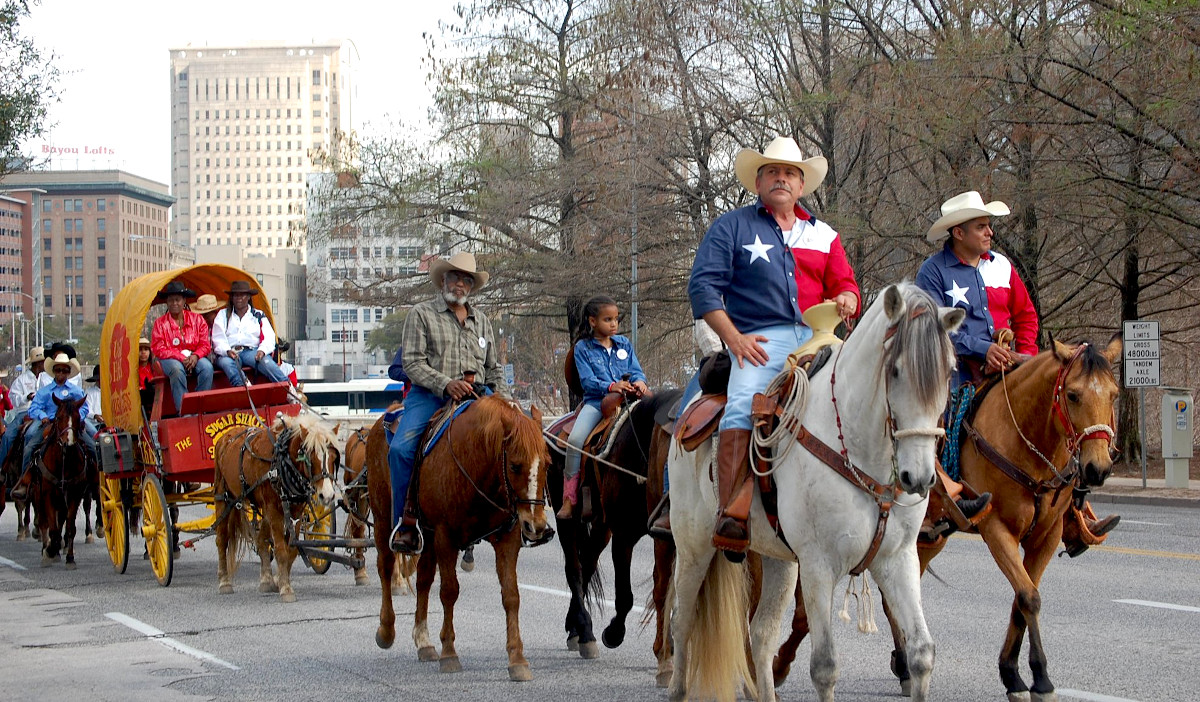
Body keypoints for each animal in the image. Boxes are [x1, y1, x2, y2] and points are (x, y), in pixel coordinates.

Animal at [212, 410, 338, 602]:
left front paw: (279, 579)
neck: (282, 461)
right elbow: (280, 549)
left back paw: (266, 580)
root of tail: (227, 436)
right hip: (224, 498)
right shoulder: (273, 509)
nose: (327, 495)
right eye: (310, 456)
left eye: (333, 458)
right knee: (222, 539)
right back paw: (224, 581)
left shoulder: (296, 510)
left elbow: (291, 550)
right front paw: (286, 589)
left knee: (261, 540)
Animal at [367, 396, 554, 681]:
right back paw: (386, 631)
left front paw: (517, 659)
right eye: (514, 465)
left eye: (547, 463)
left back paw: (424, 642)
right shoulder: (446, 537)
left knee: (423, 580)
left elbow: (511, 595)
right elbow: (449, 591)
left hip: (426, 535)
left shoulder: (507, 538)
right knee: (386, 568)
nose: (536, 526)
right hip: (382, 520)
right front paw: (449, 653)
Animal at [667, 283, 964, 700]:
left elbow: (922, 652)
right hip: (693, 544)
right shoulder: (819, 566)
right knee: (681, 620)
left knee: (761, 635)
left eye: (949, 371)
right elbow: (824, 667)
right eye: (895, 370)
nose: (918, 478)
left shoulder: (898, 559)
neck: (857, 448)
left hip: (778, 558)